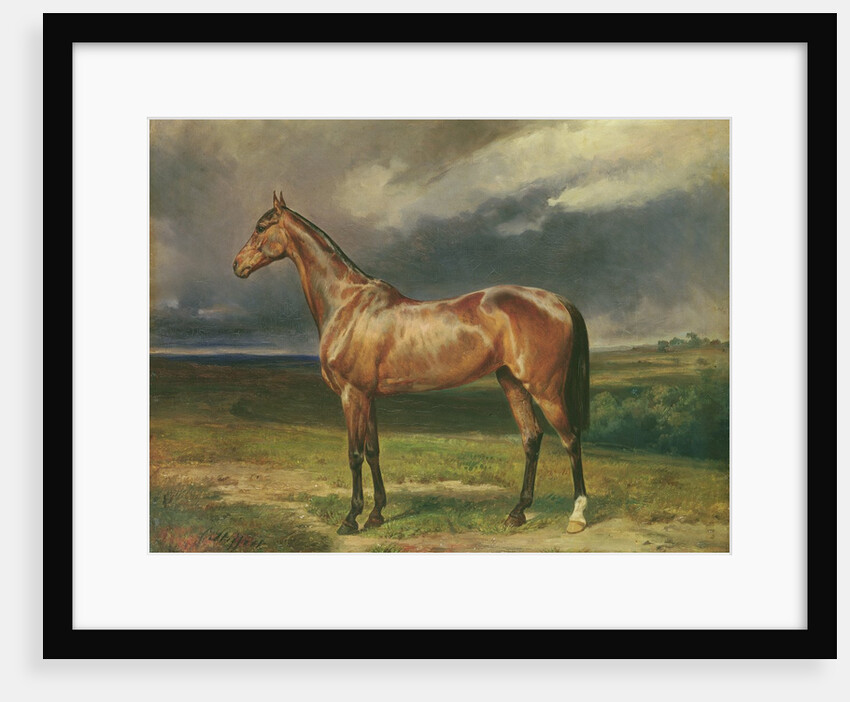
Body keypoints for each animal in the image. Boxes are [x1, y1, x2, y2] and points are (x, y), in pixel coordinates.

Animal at [233, 192, 590, 535]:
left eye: (261, 227)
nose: (237, 265)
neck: (348, 304)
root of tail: (556, 300)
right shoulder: (369, 397)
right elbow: (373, 451)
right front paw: (376, 514)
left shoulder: (352, 395)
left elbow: (354, 455)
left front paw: (351, 518)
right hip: (512, 382)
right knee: (532, 438)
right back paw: (517, 513)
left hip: (545, 389)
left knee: (571, 439)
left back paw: (577, 516)